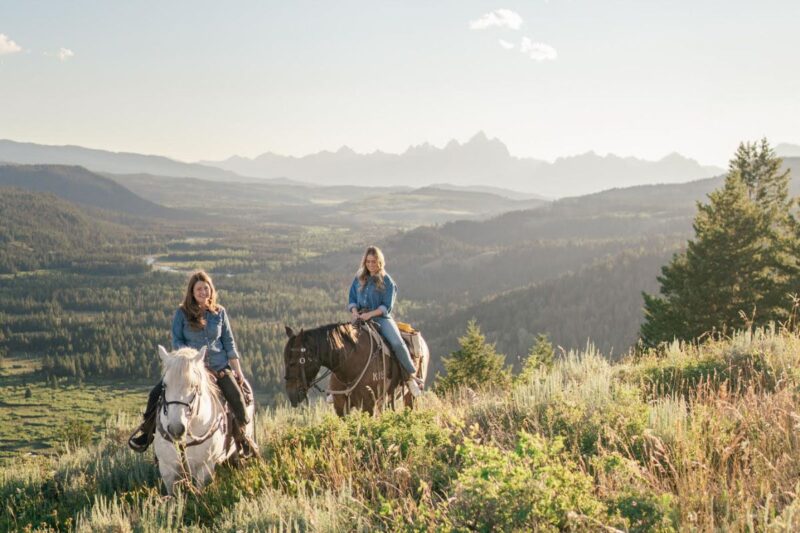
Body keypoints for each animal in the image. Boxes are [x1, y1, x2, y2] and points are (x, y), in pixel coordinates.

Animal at [282, 320, 428, 416]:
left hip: (409, 395)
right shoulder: (341, 407)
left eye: (294, 362)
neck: (349, 366)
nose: (291, 394)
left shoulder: (369, 406)